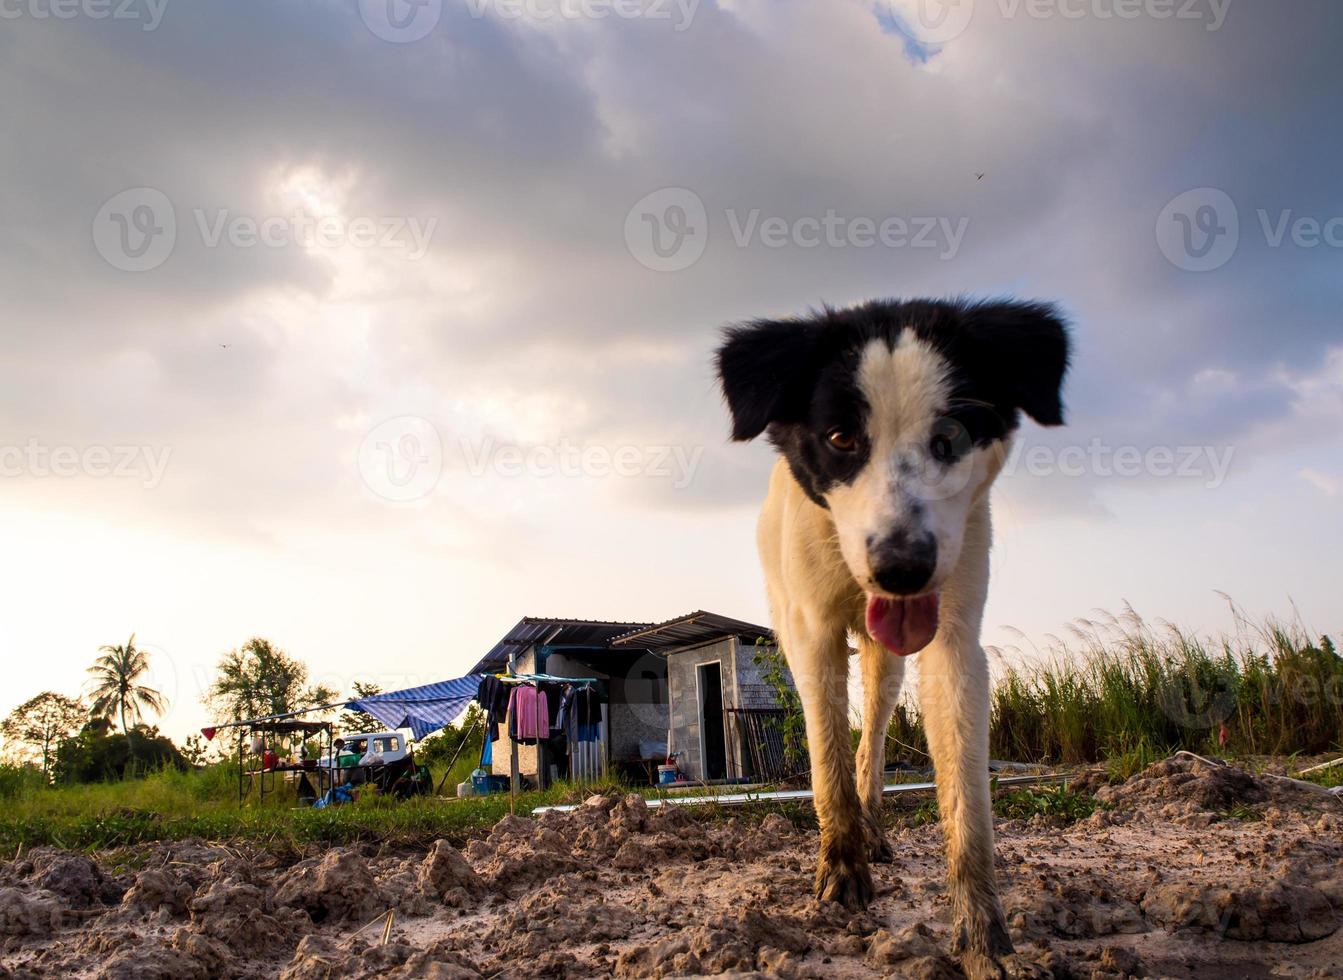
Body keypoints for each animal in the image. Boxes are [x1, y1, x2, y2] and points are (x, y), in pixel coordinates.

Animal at [714, 298, 1069, 971]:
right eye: (840, 438)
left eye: (951, 437)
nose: (902, 569)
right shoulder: (813, 636)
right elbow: (826, 759)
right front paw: (841, 869)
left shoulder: (954, 638)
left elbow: (967, 801)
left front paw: (984, 937)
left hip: (889, 662)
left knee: (873, 740)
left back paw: (875, 826)